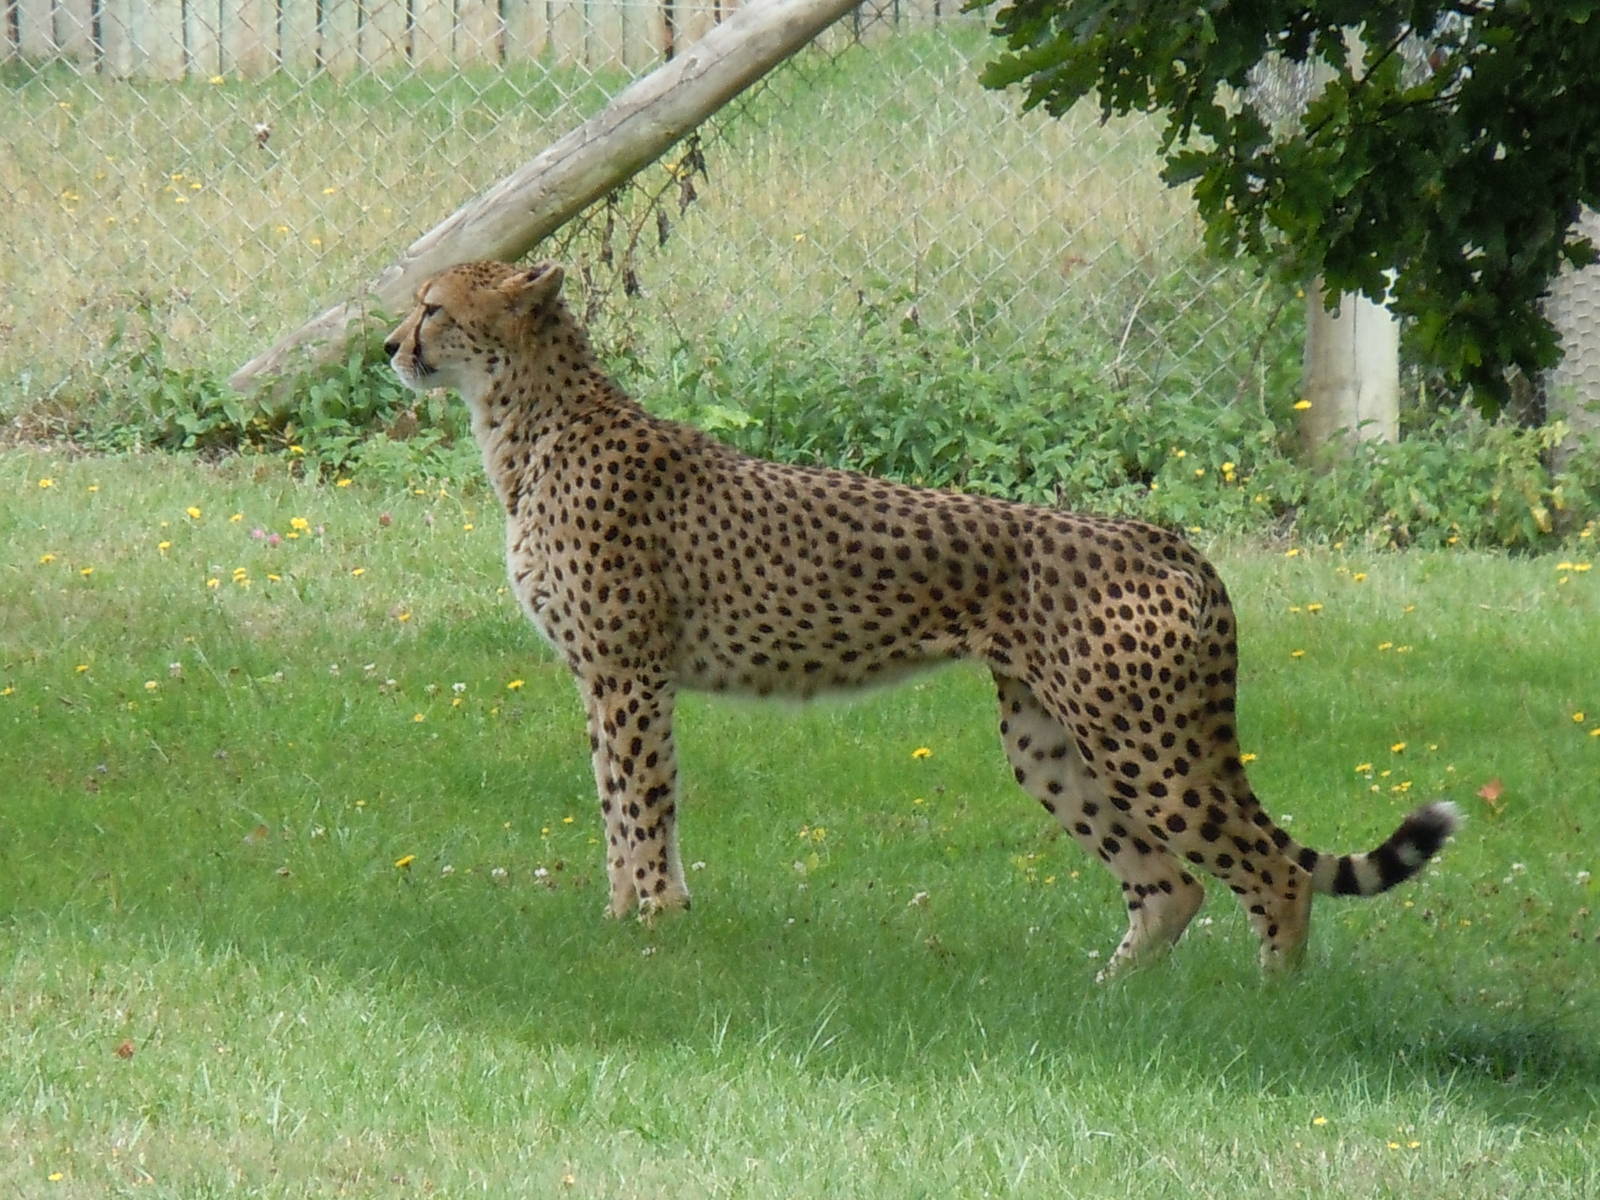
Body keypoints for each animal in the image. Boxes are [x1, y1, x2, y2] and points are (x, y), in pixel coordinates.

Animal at [385, 259, 1460, 977]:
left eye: (434, 306)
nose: (392, 346)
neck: (528, 421)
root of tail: (1168, 538)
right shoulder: (606, 678)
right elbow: (618, 803)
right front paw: (625, 924)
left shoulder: (627, 675)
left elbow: (640, 804)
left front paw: (653, 928)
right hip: (1047, 740)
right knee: (1173, 881)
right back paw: (1111, 999)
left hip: (1138, 734)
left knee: (1271, 872)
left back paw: (1268, 1005)